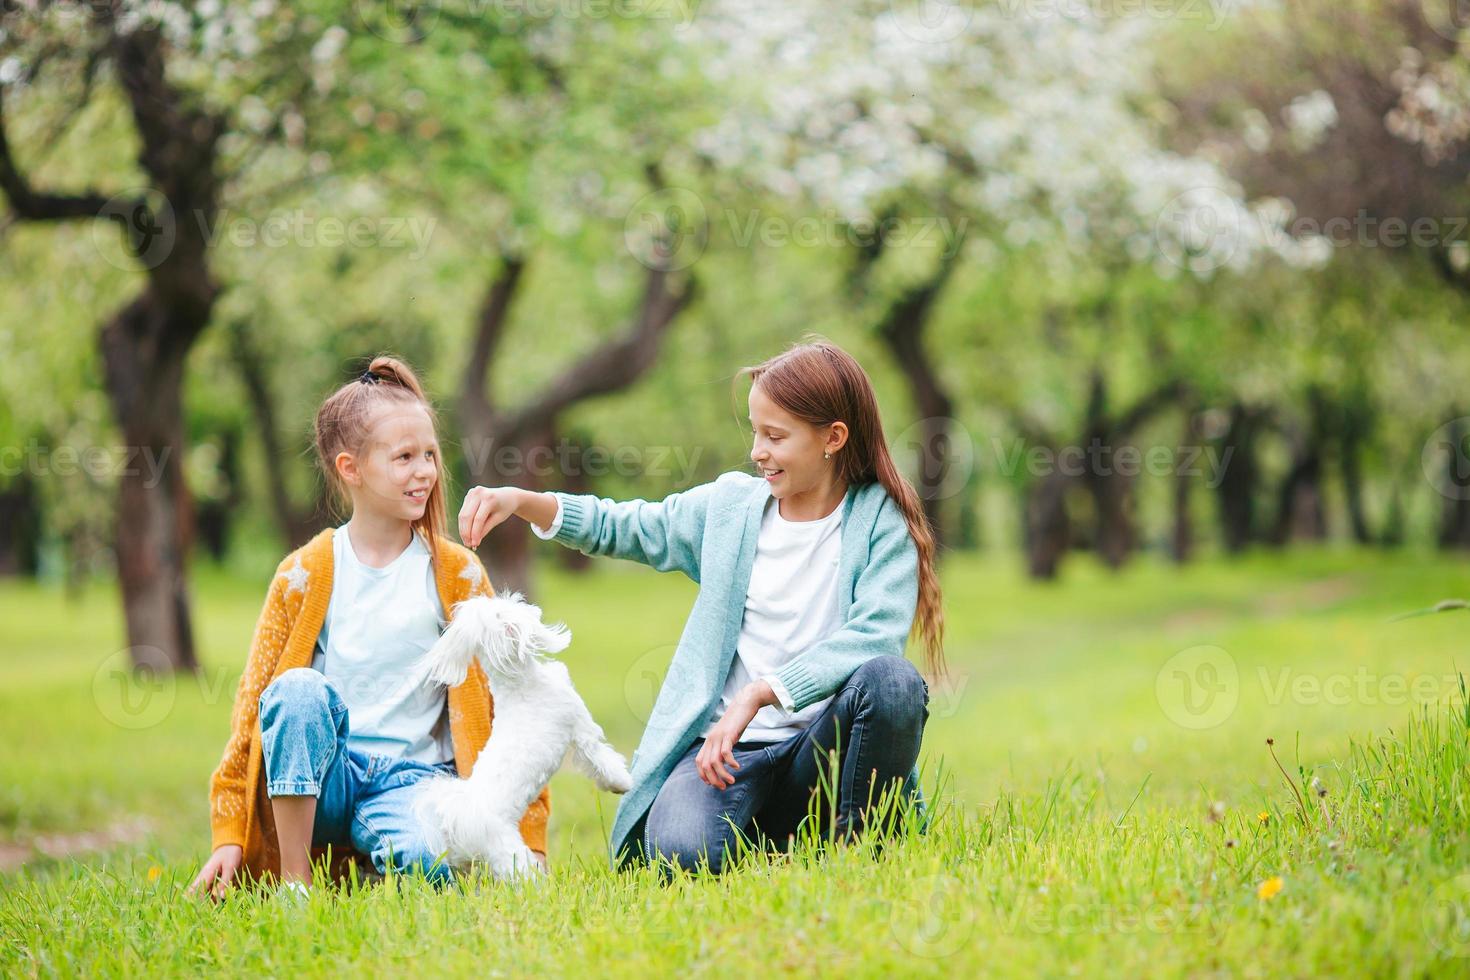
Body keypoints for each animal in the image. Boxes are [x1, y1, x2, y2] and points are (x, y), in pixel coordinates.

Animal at [408, 593, 632, 887]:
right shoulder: (581, 727)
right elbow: (600, 759)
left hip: (462, 858)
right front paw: (622, 784)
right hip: (512, 855)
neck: (519, 685)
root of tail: (461, 815)